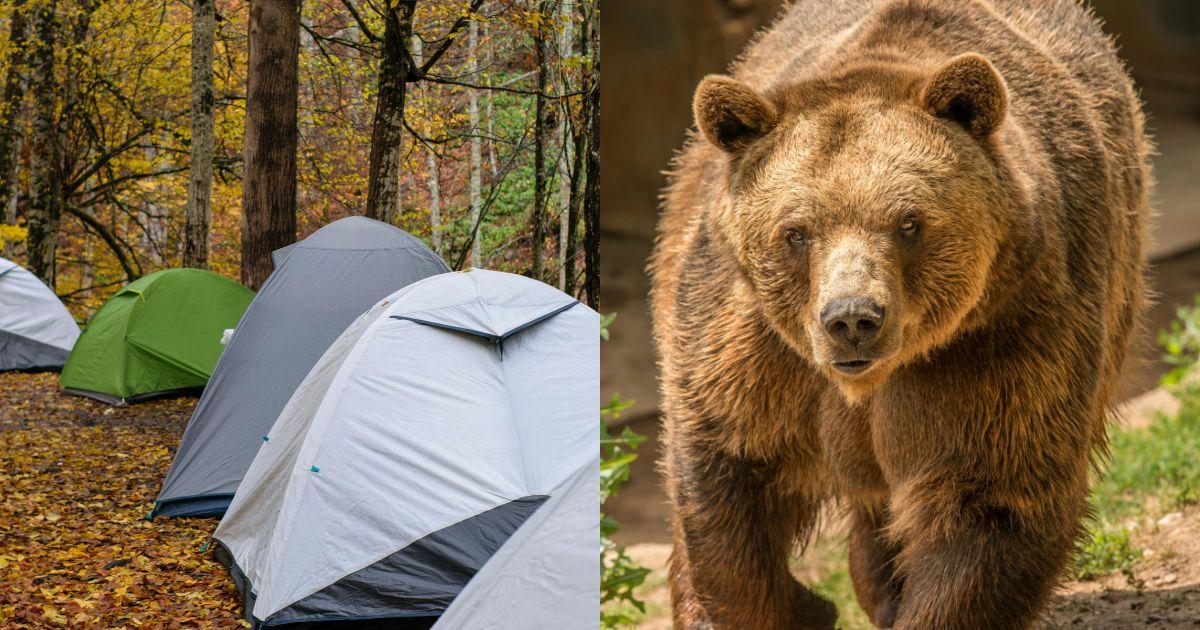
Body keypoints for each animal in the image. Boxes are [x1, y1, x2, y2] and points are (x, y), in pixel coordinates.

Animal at [648, 0, 1151, 628]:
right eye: (796, 231)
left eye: (908, 222)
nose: (851, 319)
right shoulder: (750, 344)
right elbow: (730, 473)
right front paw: (806, 606)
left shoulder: (1004, 333)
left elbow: (991, 497)